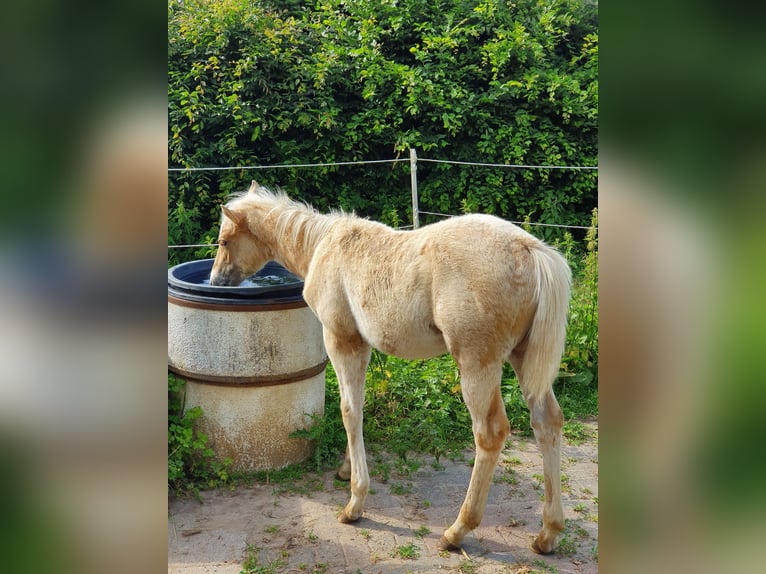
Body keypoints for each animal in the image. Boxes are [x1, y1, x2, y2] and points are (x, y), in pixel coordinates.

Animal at [210, 183, 568, 552]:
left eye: (223, 241)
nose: (216, 281)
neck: (321, 246)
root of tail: (530, 250)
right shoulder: (362, 345)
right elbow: (359, 405)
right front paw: (346, 469)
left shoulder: (341, 340)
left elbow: (348, 410)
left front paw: (355, 502)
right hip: (524, 359)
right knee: (548, 422)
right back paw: (548, 533)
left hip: (476, 364)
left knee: (490, 433)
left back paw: (457, 531)